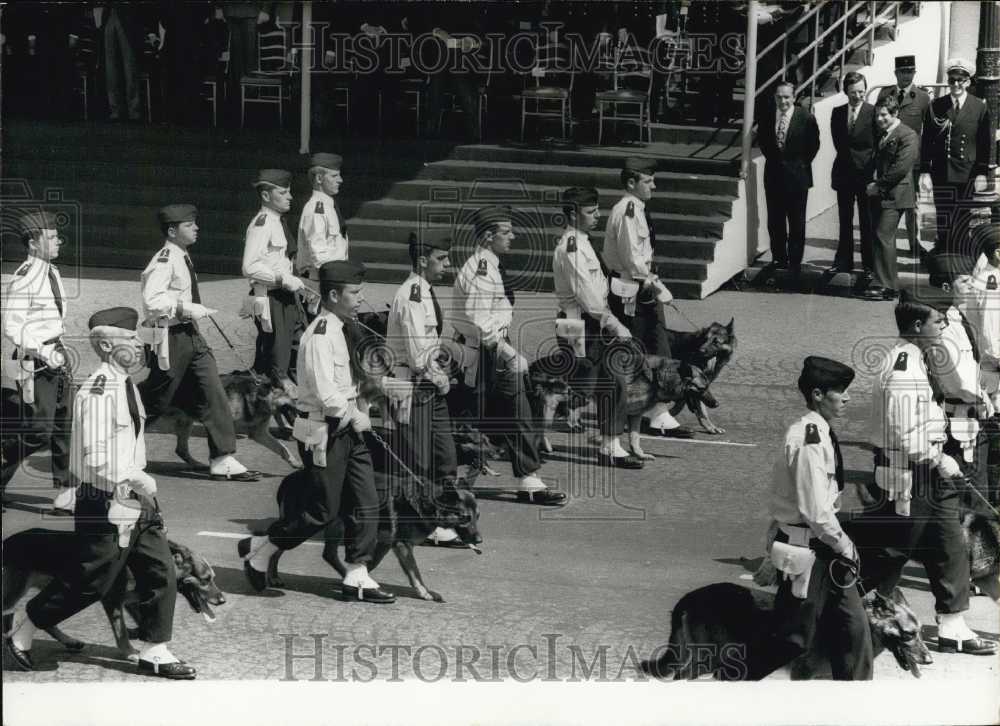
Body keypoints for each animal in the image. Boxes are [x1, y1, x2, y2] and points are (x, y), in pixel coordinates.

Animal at [2, 528, 226, 660]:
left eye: (213, 577)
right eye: (205, 579)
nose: (223, 600)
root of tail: (7, 541)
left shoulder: (130, 601)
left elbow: (142, 622)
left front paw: (143, 637)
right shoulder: (113, 600)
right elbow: (121, 632)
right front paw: (130, 652)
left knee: (41, 614)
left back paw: (68, 641)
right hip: (16, 592)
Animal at [143, 372, 300, 470]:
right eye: (296, 399)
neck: (259, 396)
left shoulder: (259, 434)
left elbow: (282, 448)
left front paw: (295, 462)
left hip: (185, 422)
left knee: (181, 450)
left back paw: (197, 464)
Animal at [640, 580, 928, 684]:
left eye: (920, 633)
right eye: (909, 634)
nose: (929, 659)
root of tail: (689, 598)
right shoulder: (802, 675)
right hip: (711, 655)